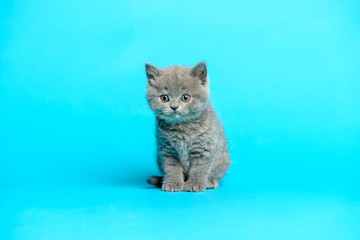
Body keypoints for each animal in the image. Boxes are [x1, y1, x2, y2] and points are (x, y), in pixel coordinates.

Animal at [146, 61, 231, 191]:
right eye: (164, 98)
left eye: (185, 98)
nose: (174, 107)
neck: (182, 127)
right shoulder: (167, 149)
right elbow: (171, 167)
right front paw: (172, 183)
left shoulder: (204, 147)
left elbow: (200, 167)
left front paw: (194, 183)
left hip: (223, 159)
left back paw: (210, 180)